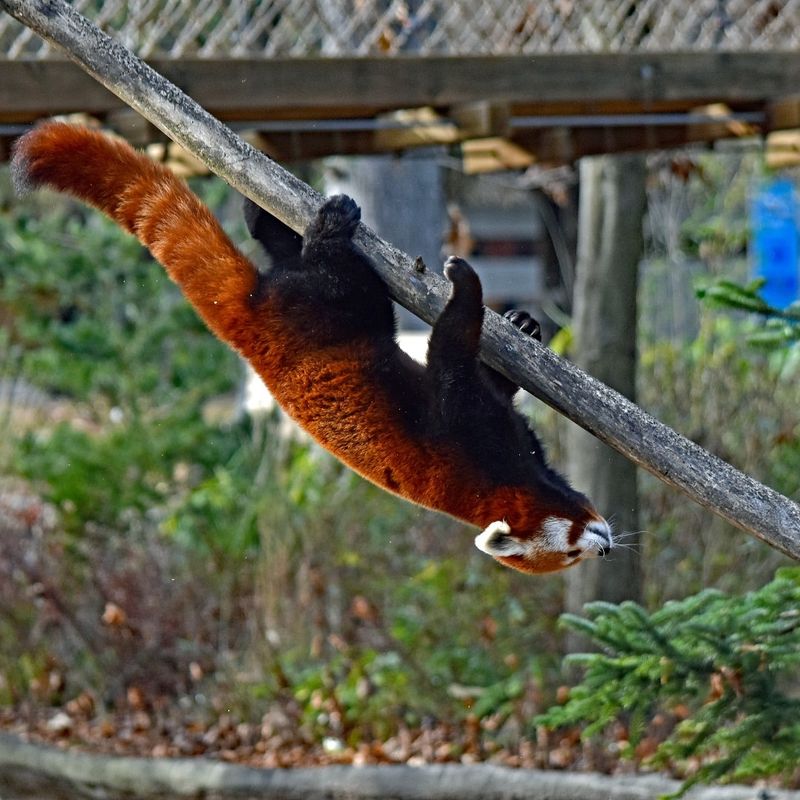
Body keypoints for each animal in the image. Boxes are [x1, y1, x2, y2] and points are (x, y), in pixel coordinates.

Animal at [10, 122, 612, 576]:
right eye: (572, 549)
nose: (608, 542)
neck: (501, 480)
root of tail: (248, 322)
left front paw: (523, 323)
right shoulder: (464, 433)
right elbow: (450, 359)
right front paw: (467, 286)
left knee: (281, 250)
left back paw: (264, 213)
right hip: (320, 310)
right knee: (342, 281)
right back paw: (326, 226)